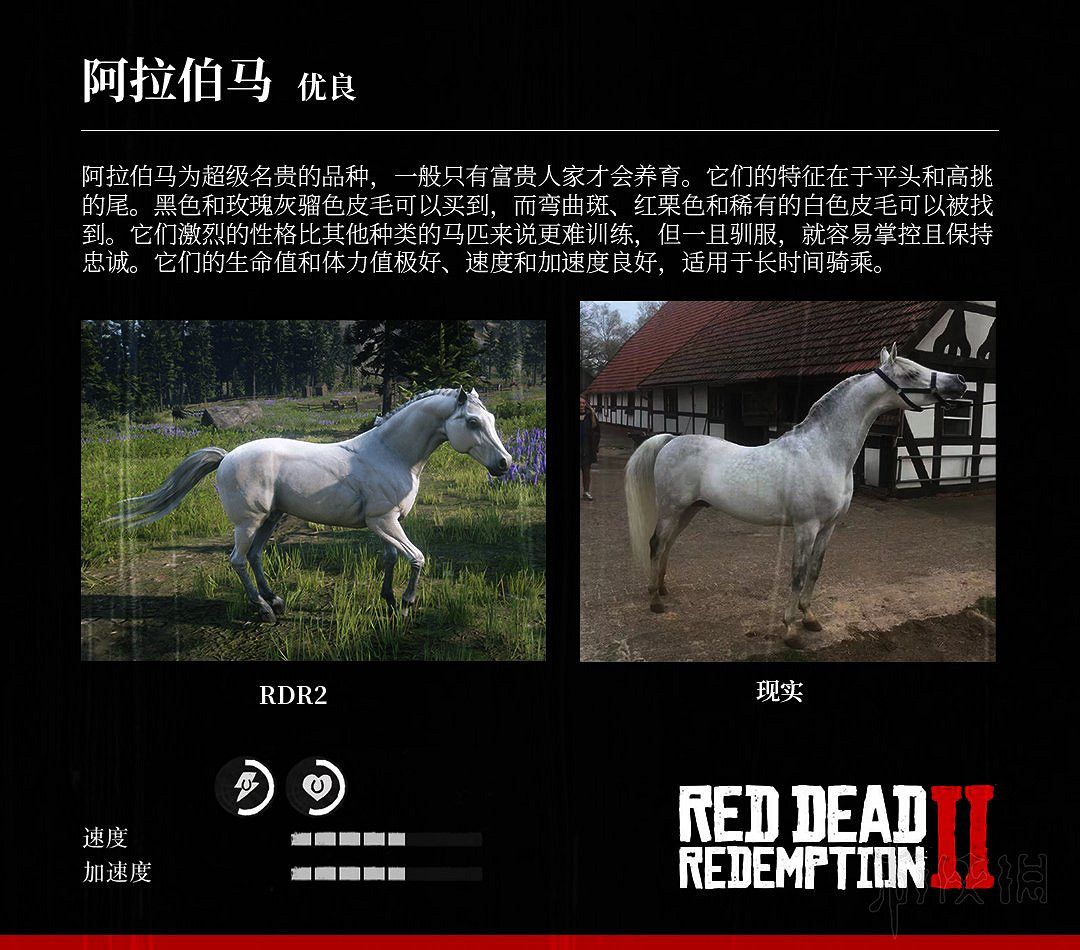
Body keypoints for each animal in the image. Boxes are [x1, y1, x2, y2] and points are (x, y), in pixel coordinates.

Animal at [108, 387, 512, 623]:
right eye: (472, 421)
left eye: (490, 419)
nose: (505, 464)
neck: (391, 453)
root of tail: (225, 457)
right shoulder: (383, 521)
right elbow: (416, 558)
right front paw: (408, 602)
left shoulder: (387, 523)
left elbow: (392, 558)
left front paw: (389, 600)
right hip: (249, 522)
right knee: (238, 560)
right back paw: (265, 611)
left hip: (271, 518)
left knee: (254, 556)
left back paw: (276, 600)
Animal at [624, 345, 968, 648]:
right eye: (911, 372)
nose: (959, 381)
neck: (824, 451)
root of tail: (670, 440)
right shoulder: (807, 526)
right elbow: (797, 574)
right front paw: (790, 631)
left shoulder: (828, 527)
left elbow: (815, 570)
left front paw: (809, 618)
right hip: (672, 509)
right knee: (656, 544)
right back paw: (654, 600)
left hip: (690, 509)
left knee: (668, 544)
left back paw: (663, 588)